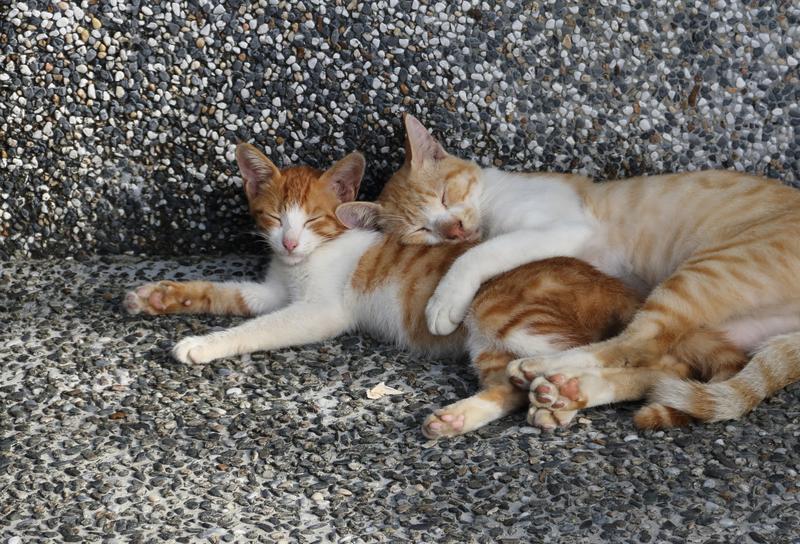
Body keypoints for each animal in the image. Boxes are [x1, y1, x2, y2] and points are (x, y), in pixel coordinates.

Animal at [123, 143, 736, 438]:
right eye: (273, 217)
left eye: (314, 219)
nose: (291, 242)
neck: (305, 262)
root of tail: (619, 288)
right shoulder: (276, 288)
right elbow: (228, 293)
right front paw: (160, 296)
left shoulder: (318, 310)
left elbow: (259, 327)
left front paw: (205, 345)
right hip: (494, 341)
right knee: (511, 386)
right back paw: (465, 416)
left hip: (503, 316)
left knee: (639, 362)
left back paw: (561, 396)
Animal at [376, 115, 800, 428]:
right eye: (422, 230)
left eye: (445, 196)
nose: (454, 230)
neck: (489, 202)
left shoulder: (564, 228)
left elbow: (480, 253)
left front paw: (444, 302)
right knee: (660, 365)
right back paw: (565, 391)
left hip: (707, 271)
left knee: (637, 345)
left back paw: (542, 369)